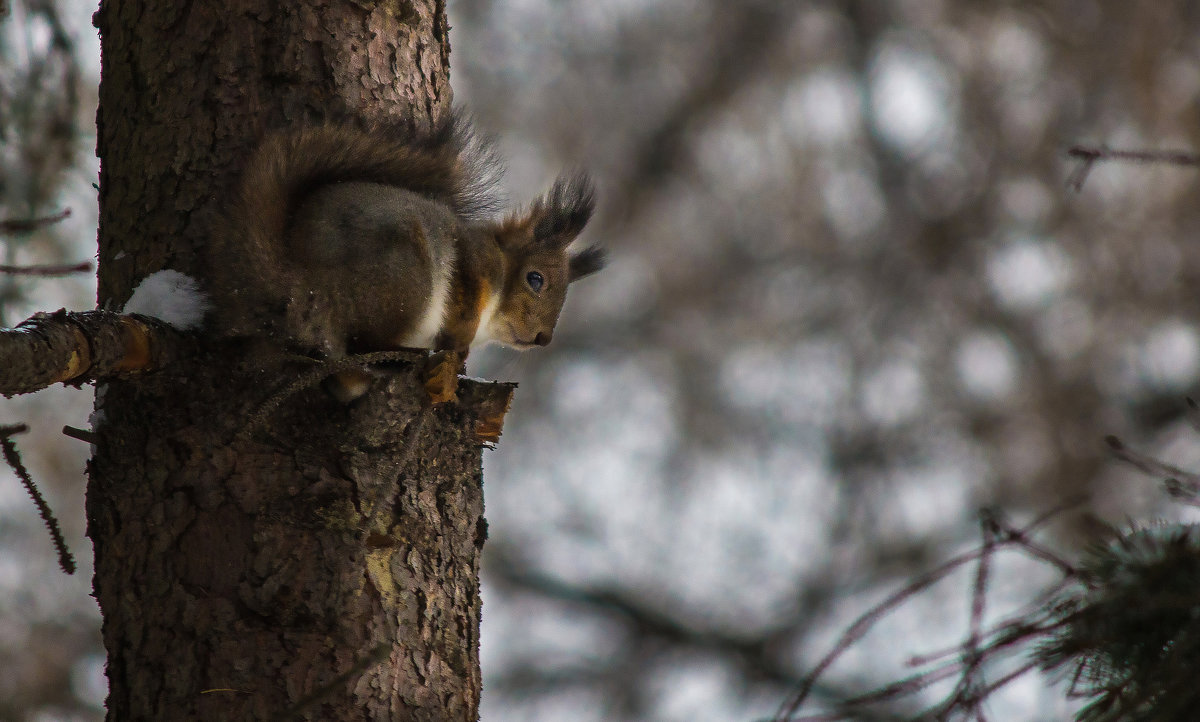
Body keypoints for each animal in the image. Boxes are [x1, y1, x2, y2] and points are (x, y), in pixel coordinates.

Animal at [211, 110, 604, 398]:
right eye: (535, 279)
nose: (543, 338)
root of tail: (306, 287)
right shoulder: (473, 269)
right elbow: (461, 309)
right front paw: (457, 348)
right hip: (405, 279)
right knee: (366, 343)